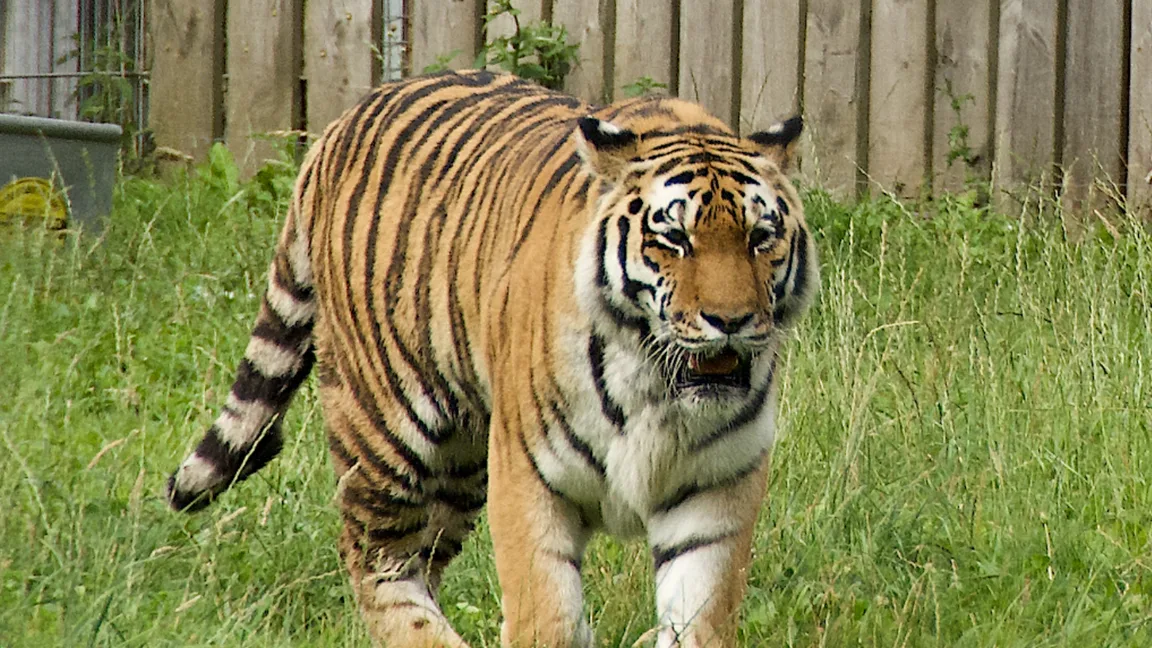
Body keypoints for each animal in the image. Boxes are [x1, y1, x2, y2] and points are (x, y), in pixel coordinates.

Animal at [167, 69, 817, 647]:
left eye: (761, 238)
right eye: (674, 239)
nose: (731, 321)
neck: (657, 388)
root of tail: (338, 124)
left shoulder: (716, 494)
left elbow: (700, 620)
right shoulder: (530, 480)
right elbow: (546, 617)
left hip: (459, 462)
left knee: (422, 558)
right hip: (382, 429)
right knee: (376, 561)